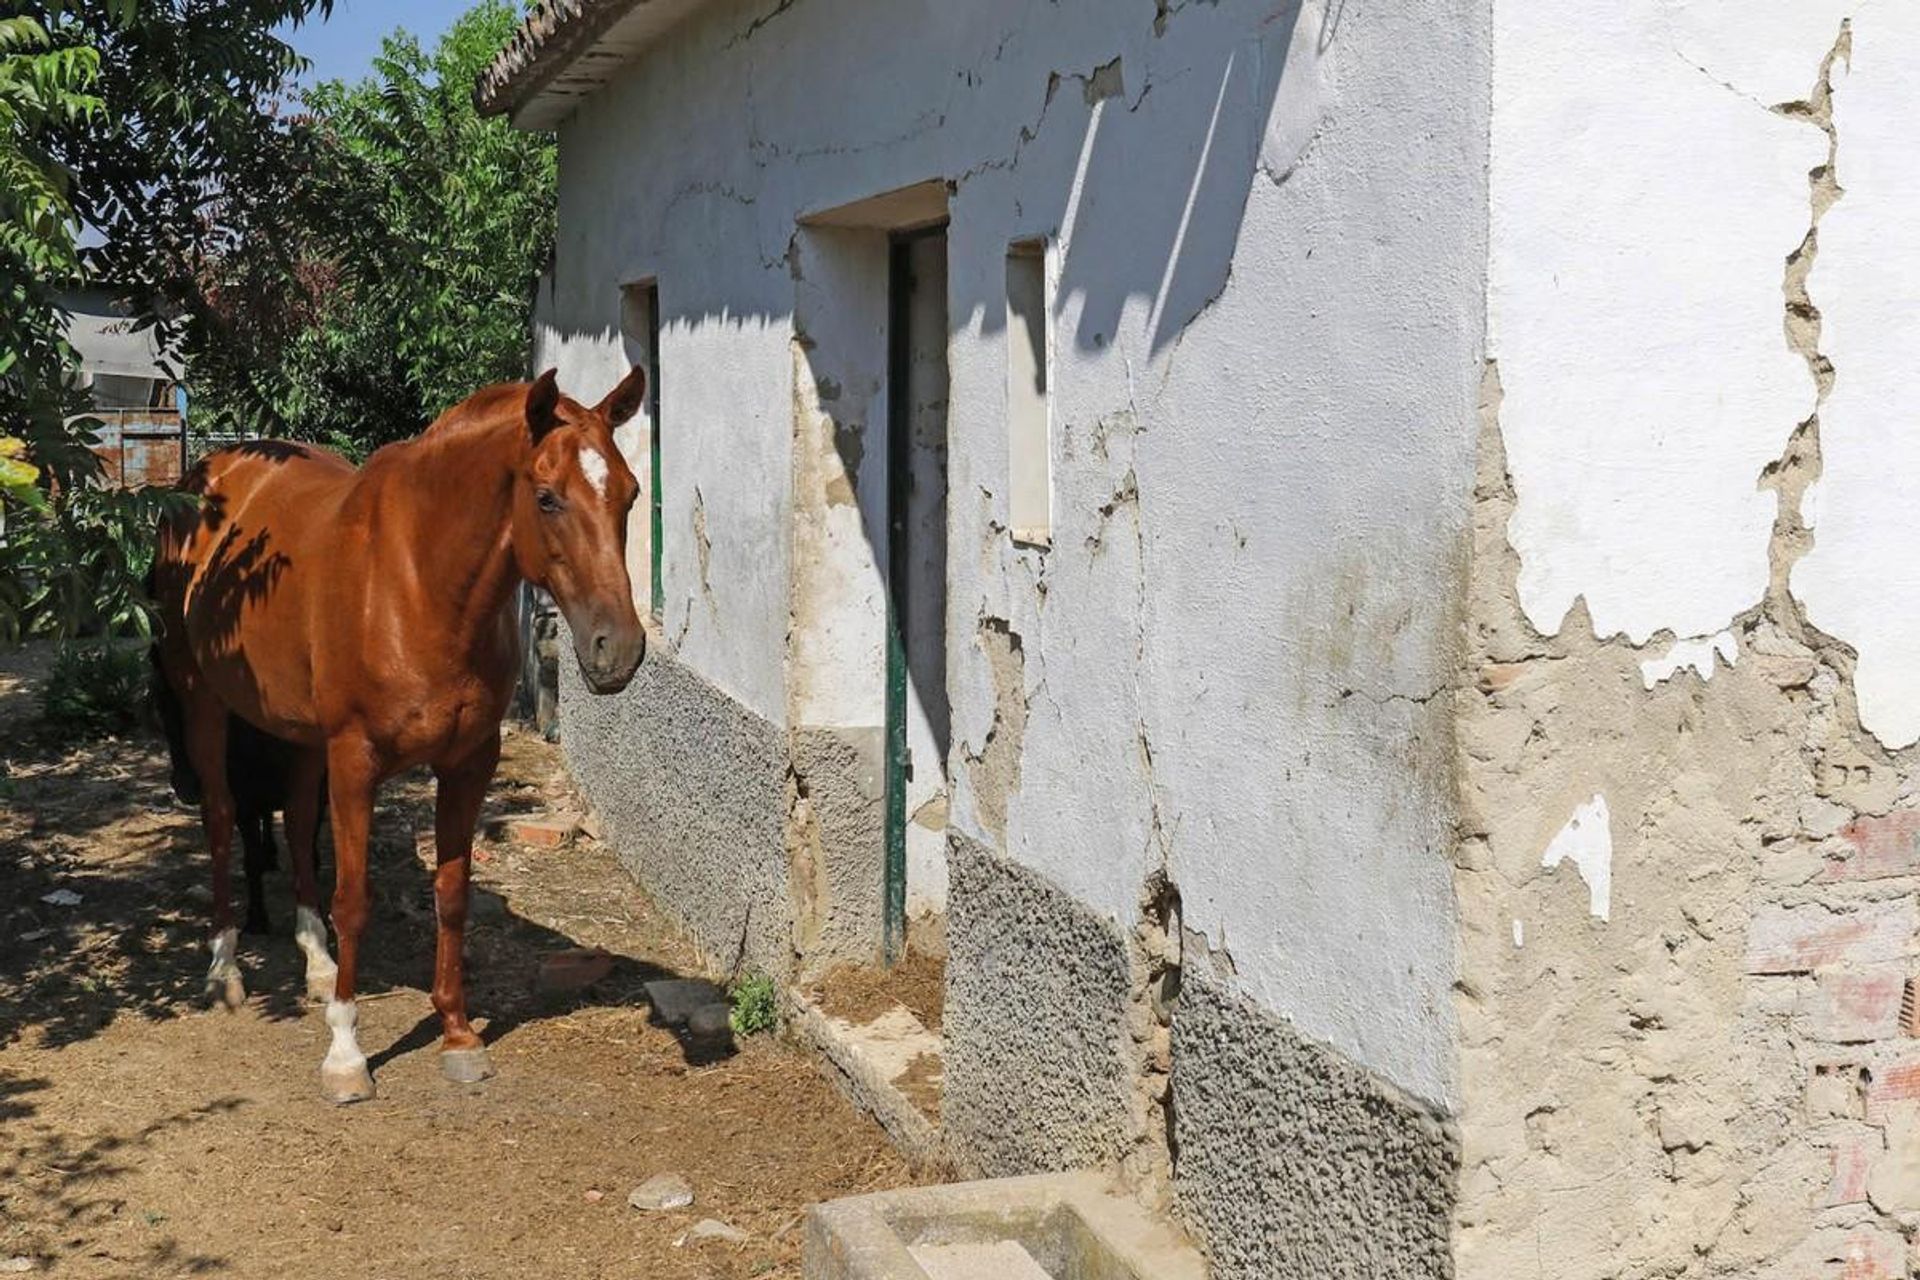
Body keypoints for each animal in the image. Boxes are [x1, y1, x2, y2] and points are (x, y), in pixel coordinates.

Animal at [149, 370, 645, 1105]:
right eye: (547, 497)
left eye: (631, 493)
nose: (621, 650)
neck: (418, 581)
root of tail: (206, 475)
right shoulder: (355, 761)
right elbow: (355, 900)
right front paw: (346, 1055)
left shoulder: (469, 763)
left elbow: (453, 893)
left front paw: (458, 1034)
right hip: (201, 697)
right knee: (219, 818)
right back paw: (224, 969)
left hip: (303, 737)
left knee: (297, 817)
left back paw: (318, 964)